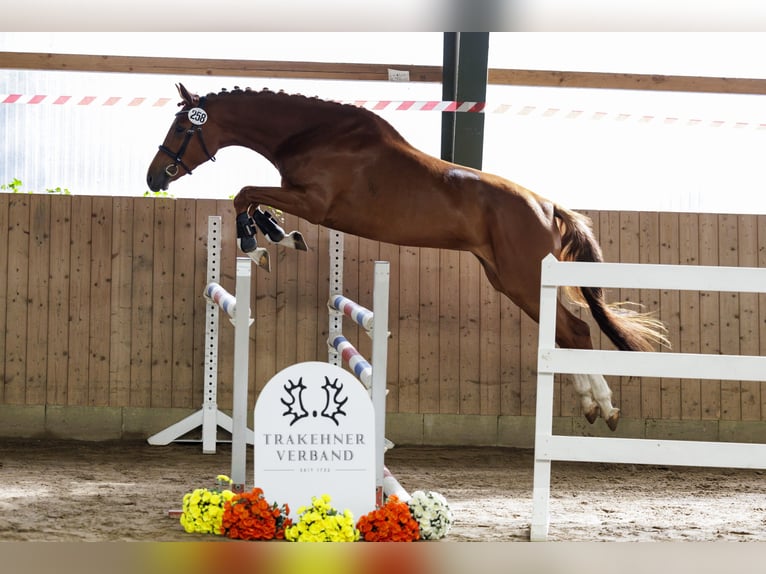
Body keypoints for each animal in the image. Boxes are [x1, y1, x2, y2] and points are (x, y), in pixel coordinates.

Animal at [147, 83, 668, 430]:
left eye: (181, 126)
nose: (155, 177)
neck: (315, 134)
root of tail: (546, 204)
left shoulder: (314, 202)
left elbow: (244, 195)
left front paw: (260, 244)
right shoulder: (303, 200)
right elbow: (253, 199)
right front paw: (277, 236)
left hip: (519, 278)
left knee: (574, 331)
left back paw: (604, 407)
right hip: (510, 280)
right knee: (566, 331)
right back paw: (595, 406)